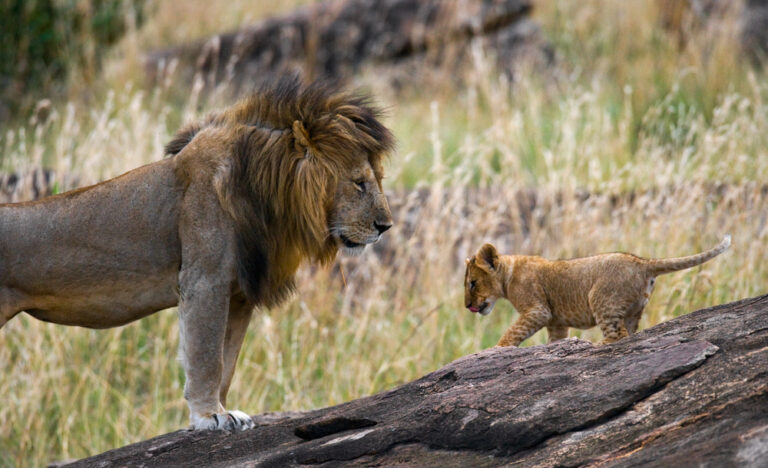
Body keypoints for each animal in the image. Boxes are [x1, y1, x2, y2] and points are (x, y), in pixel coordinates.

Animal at [0, 77, 395, 431]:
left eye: (379, 179)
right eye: (359, 182)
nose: (386, 226)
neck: (266, 194)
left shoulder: (239, 294)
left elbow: (226, 360)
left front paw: (223, 412)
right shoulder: (205, 280)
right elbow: (206, 356)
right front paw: (210, 416)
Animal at [464, 236, 730, 347]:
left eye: (472, 283)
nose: (467, 306)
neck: (509, 274)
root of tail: (643, 262)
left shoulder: (537, 310)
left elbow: (513, 332)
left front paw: (496, 349)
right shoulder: (556, 322)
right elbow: (554, 339)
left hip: (600, 297)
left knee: (617, 335)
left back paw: (595, 345)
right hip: (633, 310)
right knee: (629, 332)